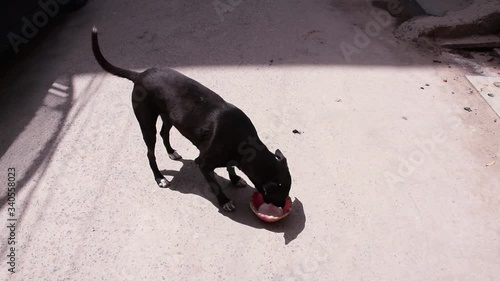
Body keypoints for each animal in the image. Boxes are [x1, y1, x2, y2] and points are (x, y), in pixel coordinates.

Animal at [92, 27, 292, 211]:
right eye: (280, 194)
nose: (282, 206)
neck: (243, 142)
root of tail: (140, 75)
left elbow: (231, 166)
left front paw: (234, 179)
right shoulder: (203, 164)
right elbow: (215, 184)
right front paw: (224, 201)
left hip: (169, 117)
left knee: (164, 133)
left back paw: (171, 152)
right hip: (147, 124)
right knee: (150, 152)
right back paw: (160, 178)